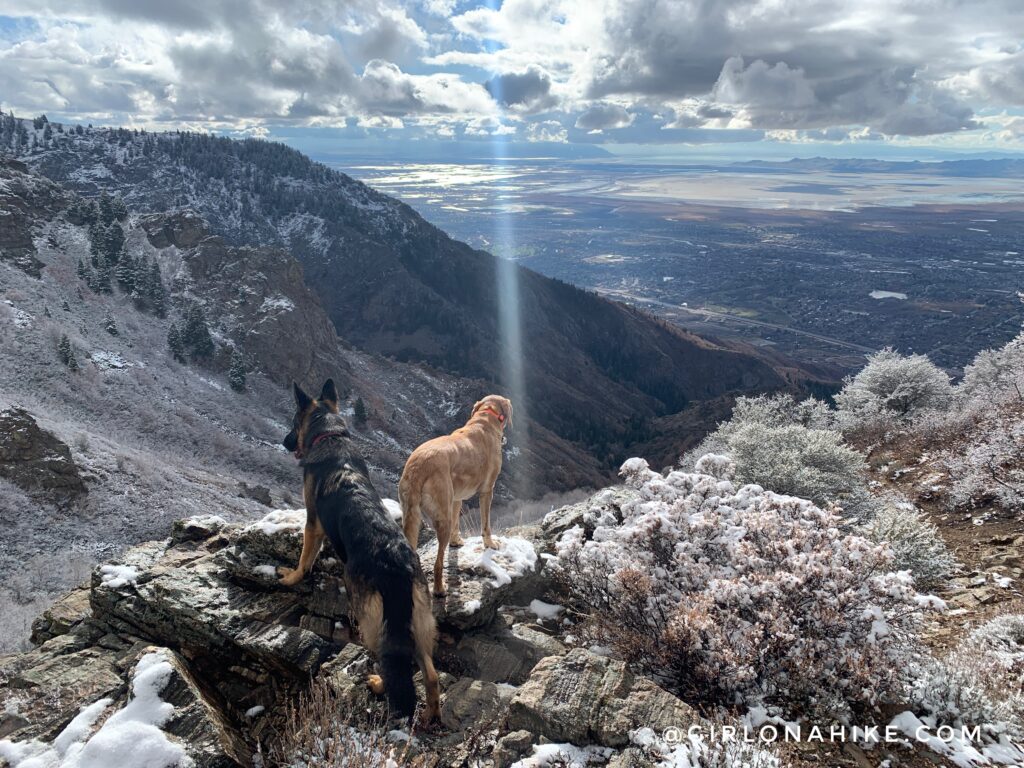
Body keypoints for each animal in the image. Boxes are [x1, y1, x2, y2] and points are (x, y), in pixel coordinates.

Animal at [280, 382, 440, 724]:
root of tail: (395, 562)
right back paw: (431, 715)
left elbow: (305, 557)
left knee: (388, 661)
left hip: (371, 621)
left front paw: (291, 578)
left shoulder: (313, 523)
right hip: (419, 620)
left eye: (294, 422)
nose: (285, 442)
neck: (330, 435)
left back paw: (379, 685)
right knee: (431, 674)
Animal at [399, 393, 512, 598]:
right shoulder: (487, 491)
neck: (485, 417)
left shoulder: (457, 498)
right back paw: (439, 589)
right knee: (438, 563)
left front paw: (456, 542)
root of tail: (418, 466)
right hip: (441, 517)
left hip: (410, 513)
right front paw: (490, 544)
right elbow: (486, 524)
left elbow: (457, 524)